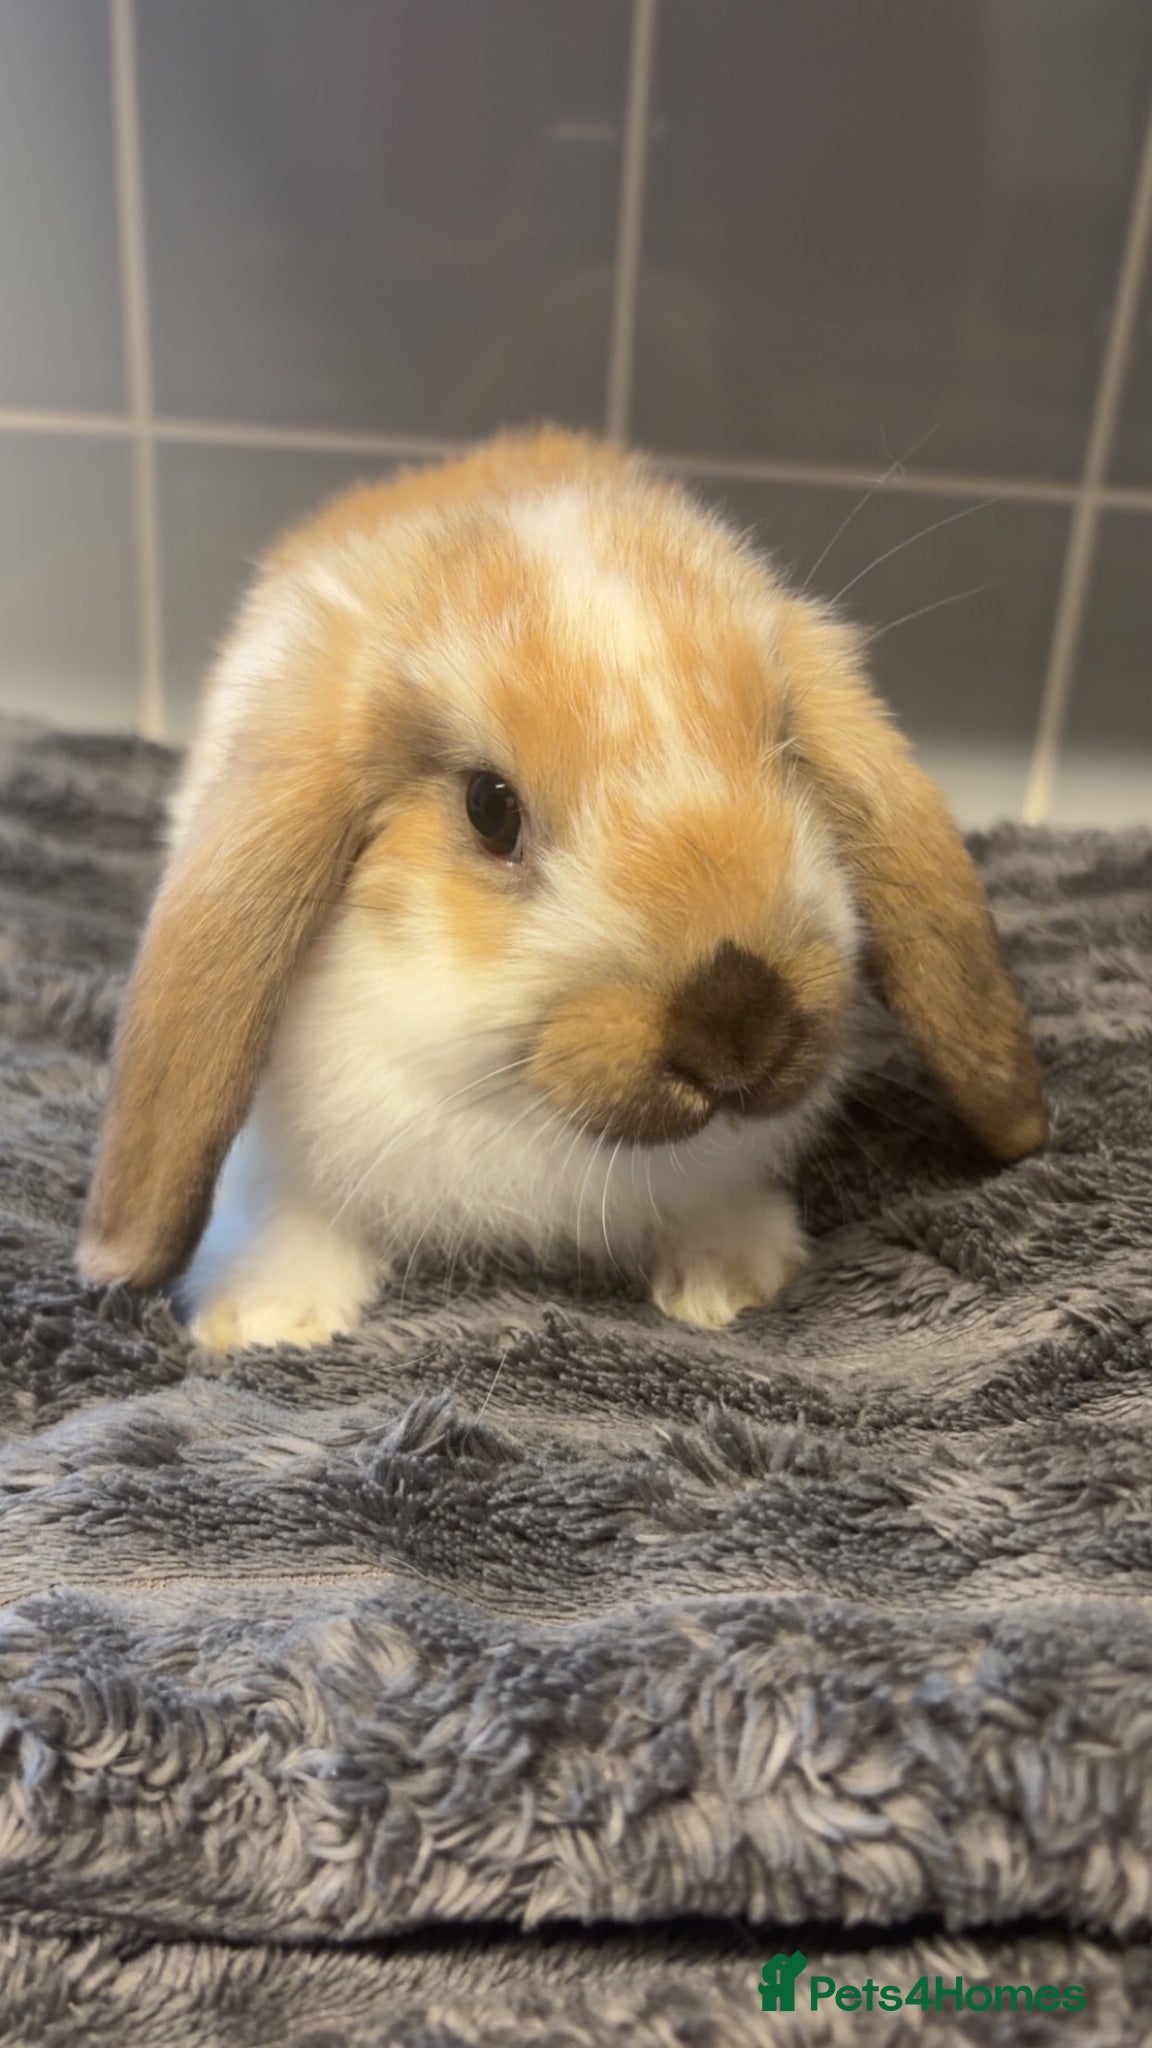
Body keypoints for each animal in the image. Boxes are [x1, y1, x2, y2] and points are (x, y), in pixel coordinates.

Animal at [77, 429, 1048, 1349]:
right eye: (490, 808)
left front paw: (732, 1278)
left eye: (788, 754)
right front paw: (267, 1318)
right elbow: (286, 1209)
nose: (738, 1025)